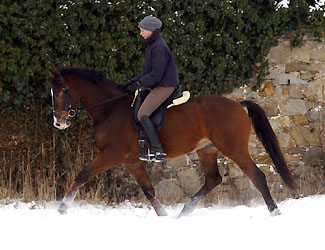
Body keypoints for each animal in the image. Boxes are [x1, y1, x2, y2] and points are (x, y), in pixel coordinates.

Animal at [49, 67, 294, 217]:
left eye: (59, 92)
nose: (58, 122)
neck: (110, 109)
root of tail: (237, 104)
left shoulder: (111, 155)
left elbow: (82, 175)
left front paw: (62, 209)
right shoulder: (131, 162)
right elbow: (149, 191)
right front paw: (164, 217)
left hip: (233, 149)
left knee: (257, 176)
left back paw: (274, 211)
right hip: (207, 149)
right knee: (213, 179)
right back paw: (183, 213)